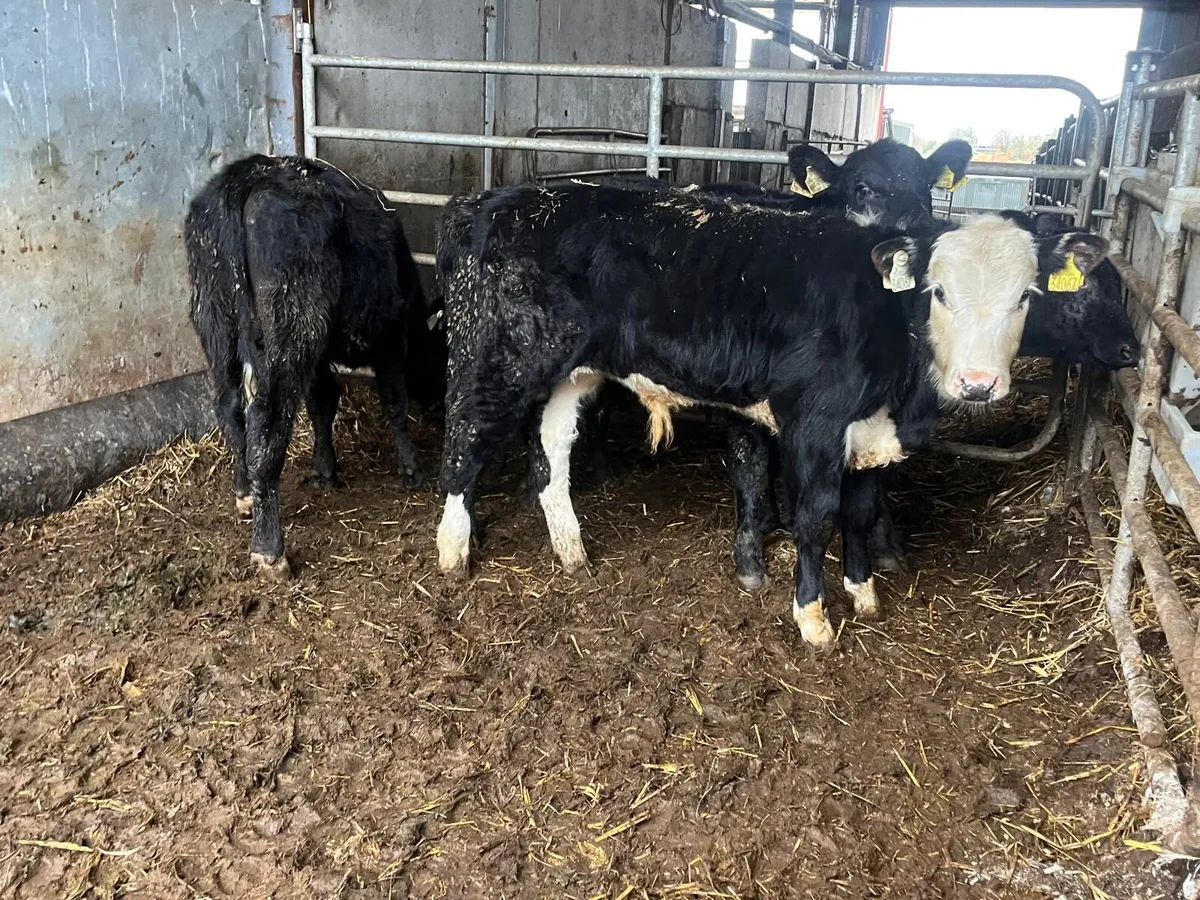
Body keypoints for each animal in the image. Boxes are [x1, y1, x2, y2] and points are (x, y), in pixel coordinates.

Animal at [186, 154, 443, 579]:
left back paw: (244, 494)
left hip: (216, 323)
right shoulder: (389, 338)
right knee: (267, 425)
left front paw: (325, 470)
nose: (440, 406)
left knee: (230, 409)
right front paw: (412, 469)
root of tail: (250, 173)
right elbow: (394, 401)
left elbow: (323, 405)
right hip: (291, 332)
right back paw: (269, 548)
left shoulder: (322, 356)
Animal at [433, 181, 1107, 647]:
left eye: (1026, 295)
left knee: (551, 455)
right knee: (464, 445)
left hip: (571, 372)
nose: (979, 384)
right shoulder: (813, 424)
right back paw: (454, 552)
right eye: (937, 291)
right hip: (492, 357)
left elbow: (861, 514)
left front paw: (864, 594)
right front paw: (814, 618)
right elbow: (816, 518)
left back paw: (572, 551)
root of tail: (486, 202)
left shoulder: (867, 435)